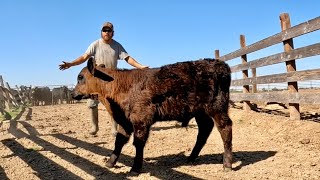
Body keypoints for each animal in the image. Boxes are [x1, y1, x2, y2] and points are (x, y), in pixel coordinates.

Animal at [72, 57, 232, 173]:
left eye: (80, 77)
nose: (73, 94)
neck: (121, 85)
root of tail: (221, 64)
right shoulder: (125, 121)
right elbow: (119, 141)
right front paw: (110, 163)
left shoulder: (141, 120)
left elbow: (138, 143)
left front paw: (135, 168)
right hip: (201, 113)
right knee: (204, 130)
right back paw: (191, 158)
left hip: (217, 108)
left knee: (225, 128)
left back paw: (227, 164)